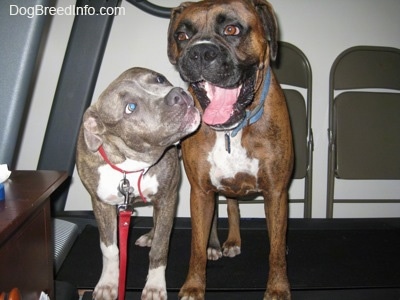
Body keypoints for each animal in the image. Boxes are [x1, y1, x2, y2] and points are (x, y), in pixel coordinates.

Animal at [76, 68, 200, 300]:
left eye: (159, 79)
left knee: (161, 226)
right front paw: (108, 283)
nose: (177, 94)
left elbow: (160, 247)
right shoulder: (101, 204)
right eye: (130, 107)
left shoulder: (167, 197)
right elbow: (109, 248)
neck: (130, 166)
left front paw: (154, 286)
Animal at [167, 0, 292, 300]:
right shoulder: (200, 191)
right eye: (182, 36)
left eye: (232, 29)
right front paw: (194, 286)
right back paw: (217, 243)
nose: (200, 52)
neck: (230, 131)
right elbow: (196, 247)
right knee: (223, 210)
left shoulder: (277, 192)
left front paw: (278, 288)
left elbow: (275, 250)